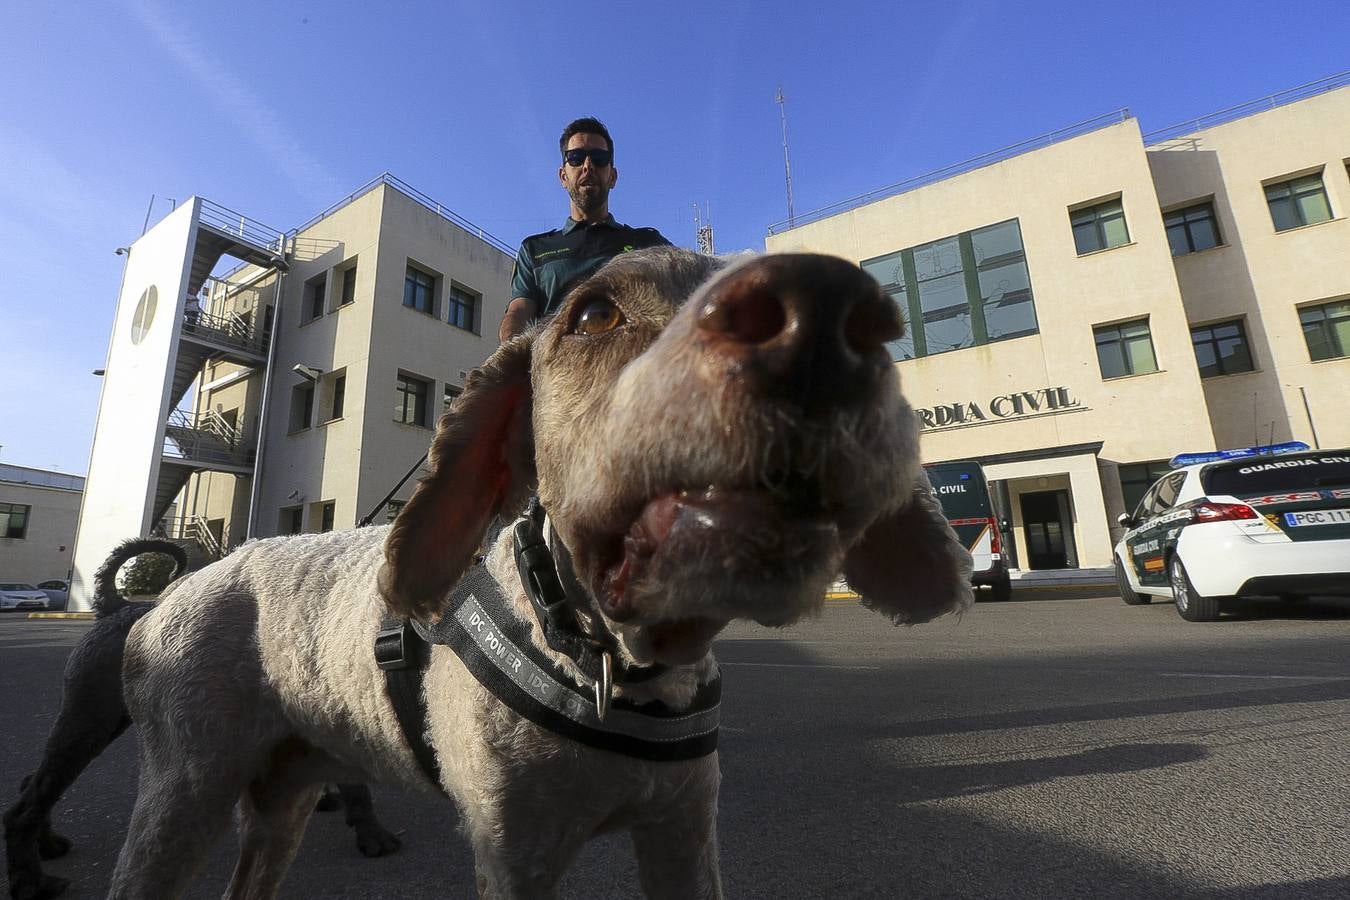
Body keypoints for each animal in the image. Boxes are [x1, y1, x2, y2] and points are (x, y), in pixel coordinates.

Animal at [108, 248, 972, 900]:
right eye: (594, 315)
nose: (826, 309)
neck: (613, 666)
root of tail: (172, 592)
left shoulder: (685, 833)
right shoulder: (514, 851)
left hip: (283, 799)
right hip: (181, 796)